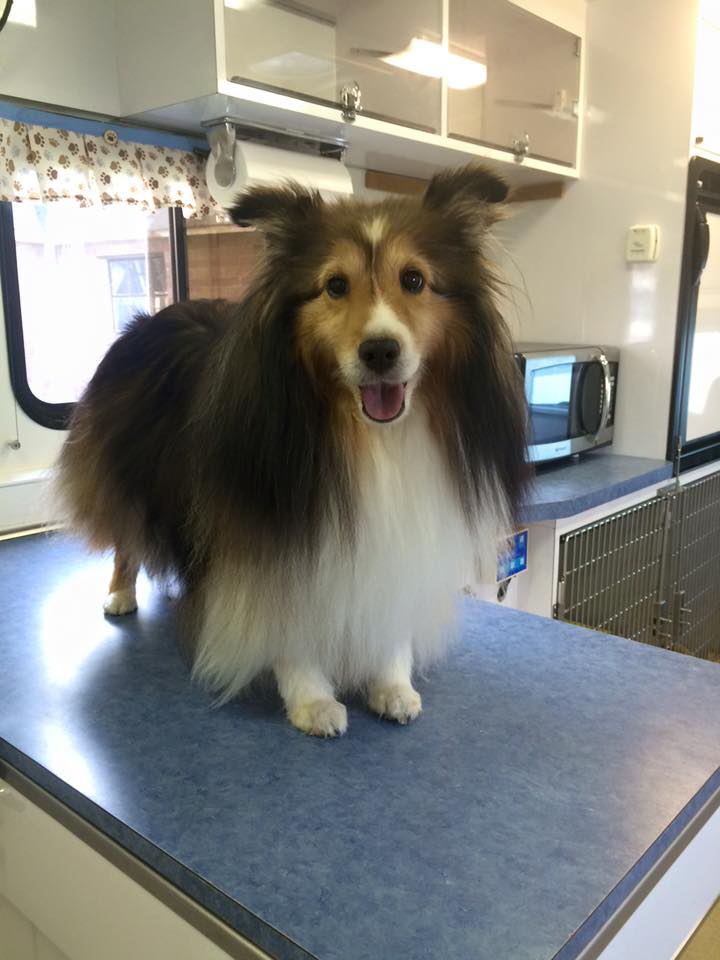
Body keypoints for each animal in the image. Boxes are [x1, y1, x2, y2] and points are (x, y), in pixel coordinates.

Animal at [57, 163, 528, 736]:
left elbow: (390, 614)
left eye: (414, 280)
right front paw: (312, 700)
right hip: (129, 473)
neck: (372, 440)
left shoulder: (402, 528)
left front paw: (392, 685)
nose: (379, 351)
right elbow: (287, 622)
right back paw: (121, 594)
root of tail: (148, 318)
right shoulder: (270, 526)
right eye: (335, 285)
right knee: (126, 539)